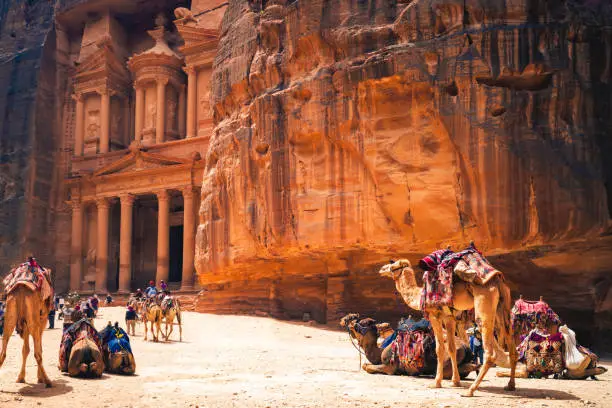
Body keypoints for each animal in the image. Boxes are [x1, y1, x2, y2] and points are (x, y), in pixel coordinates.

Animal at [380, 249, 520, 396]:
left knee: (490, 352)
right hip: (503, 307)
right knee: (512, 347)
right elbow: (451, 348)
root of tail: (497, 279)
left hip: (484, 302)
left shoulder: (434, 316)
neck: (419, 294)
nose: (381, 269)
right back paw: (510, 385)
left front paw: (437, 382)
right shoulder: (449, 318)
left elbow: (440, 349)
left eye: (393, 266)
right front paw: (455, 381)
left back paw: (470, 390)